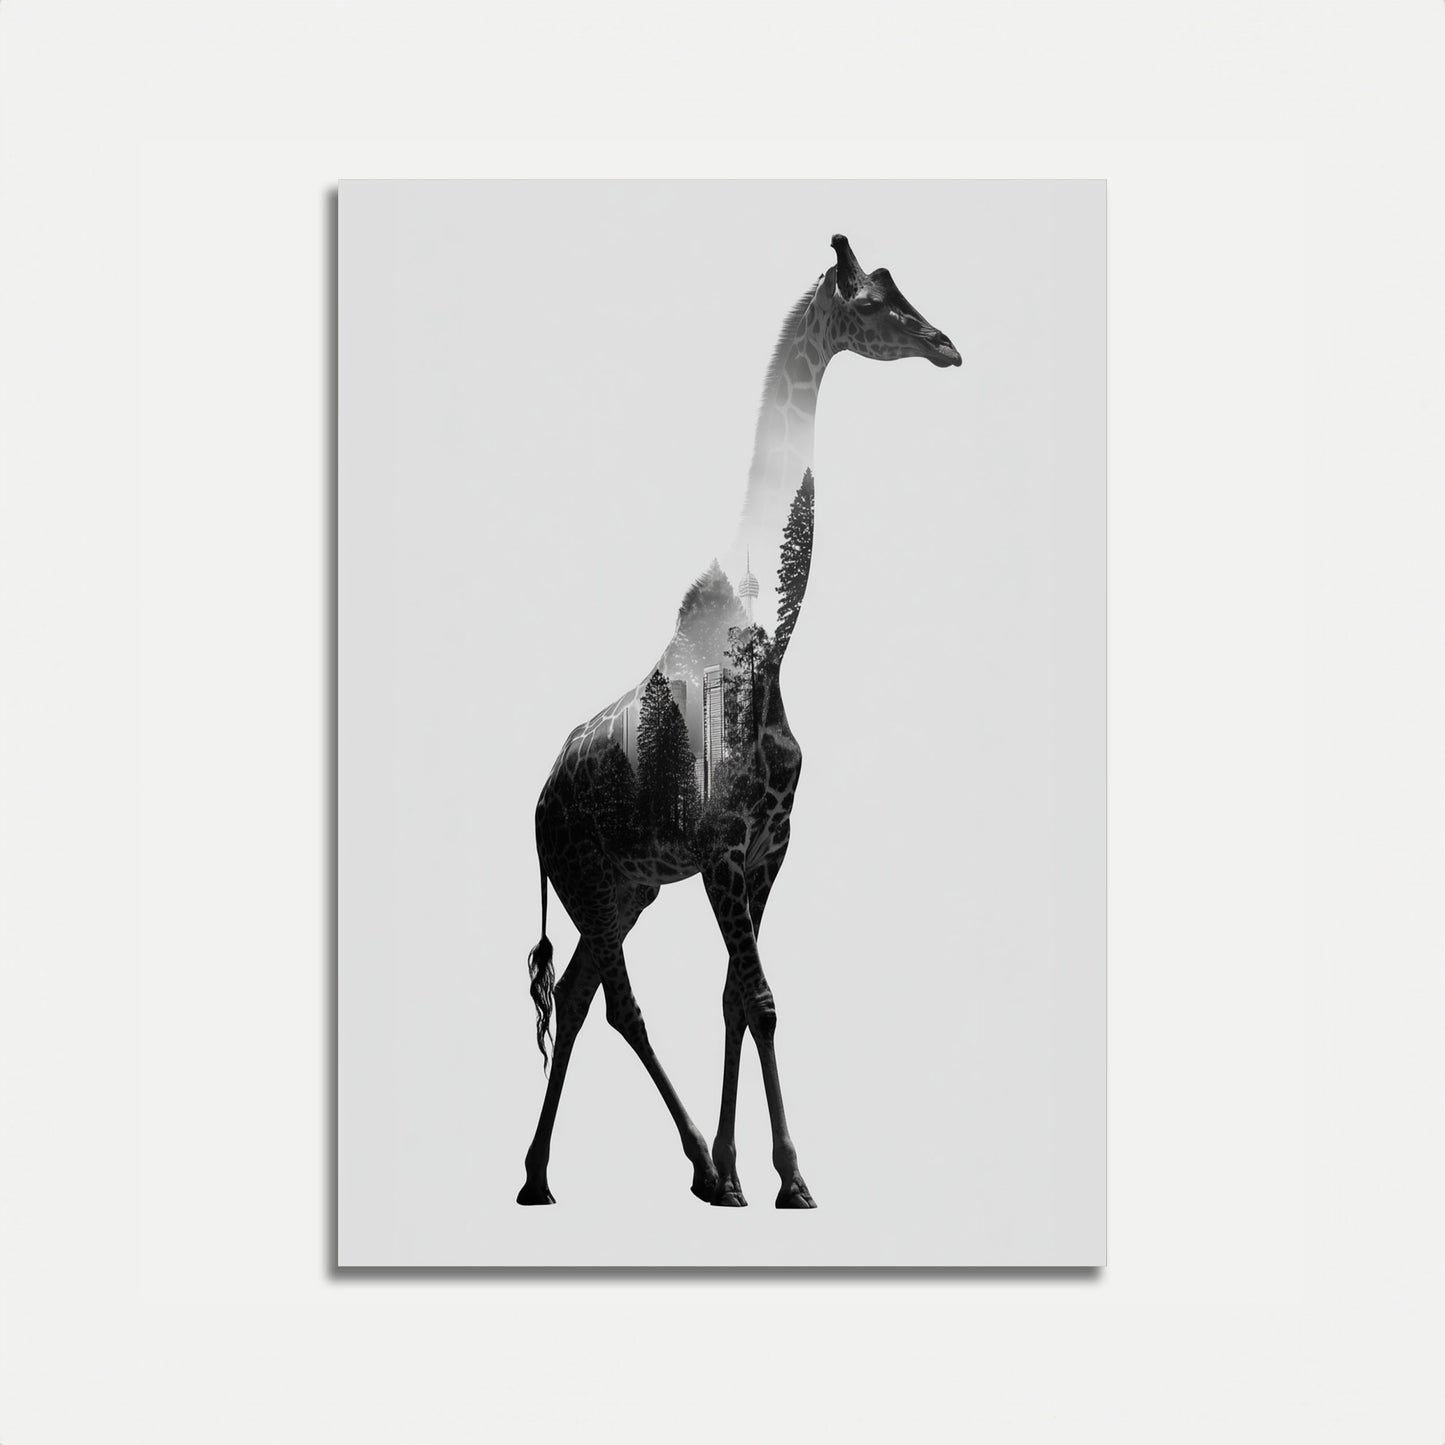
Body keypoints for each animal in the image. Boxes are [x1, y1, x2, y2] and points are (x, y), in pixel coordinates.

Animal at [517, 235, 959, 1208]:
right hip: (590, 884)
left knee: (577, 994)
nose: (946, 344)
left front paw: (746, 1165)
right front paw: (781, 1177)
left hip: (627, 889)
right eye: (873, 301)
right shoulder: (722, 849)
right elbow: (757, 999)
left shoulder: (768, 847)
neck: (772, 642)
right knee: (615, 1001)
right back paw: (675, 1168)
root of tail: (534, 809)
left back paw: (541, 1175)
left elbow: (733, 999)